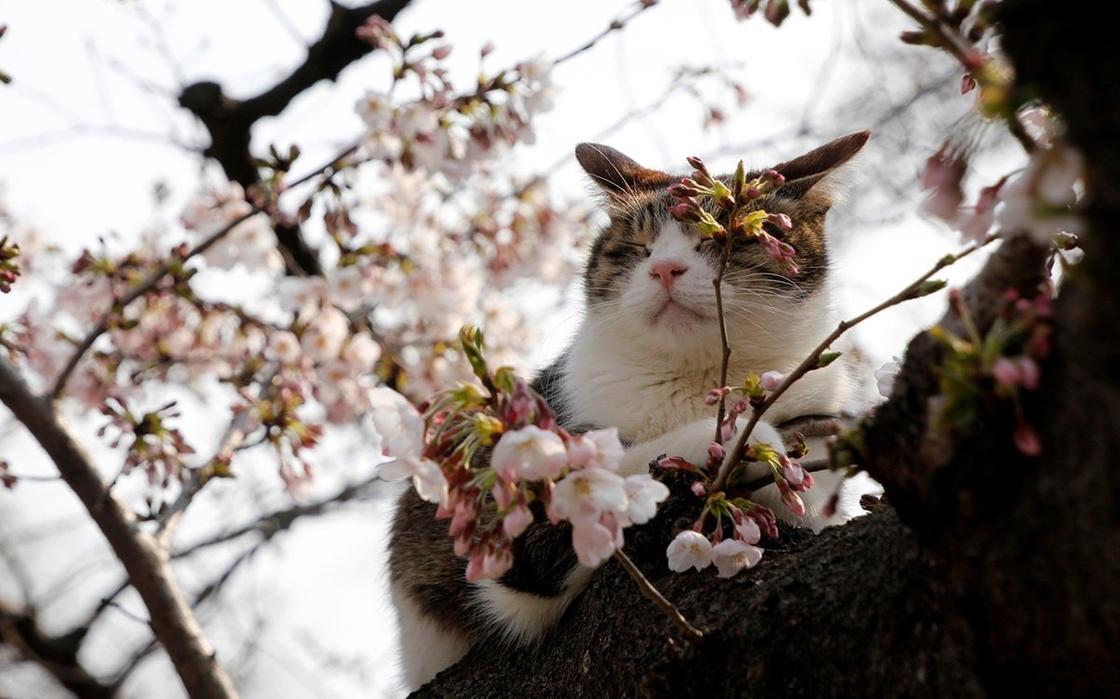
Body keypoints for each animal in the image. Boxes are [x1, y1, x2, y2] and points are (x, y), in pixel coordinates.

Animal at [389, 131, 878, 690]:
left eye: (723, 239)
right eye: (638, 248)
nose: (665, 268)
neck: (698, 380)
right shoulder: (515, 546)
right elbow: (607, 471)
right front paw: (746, 442)